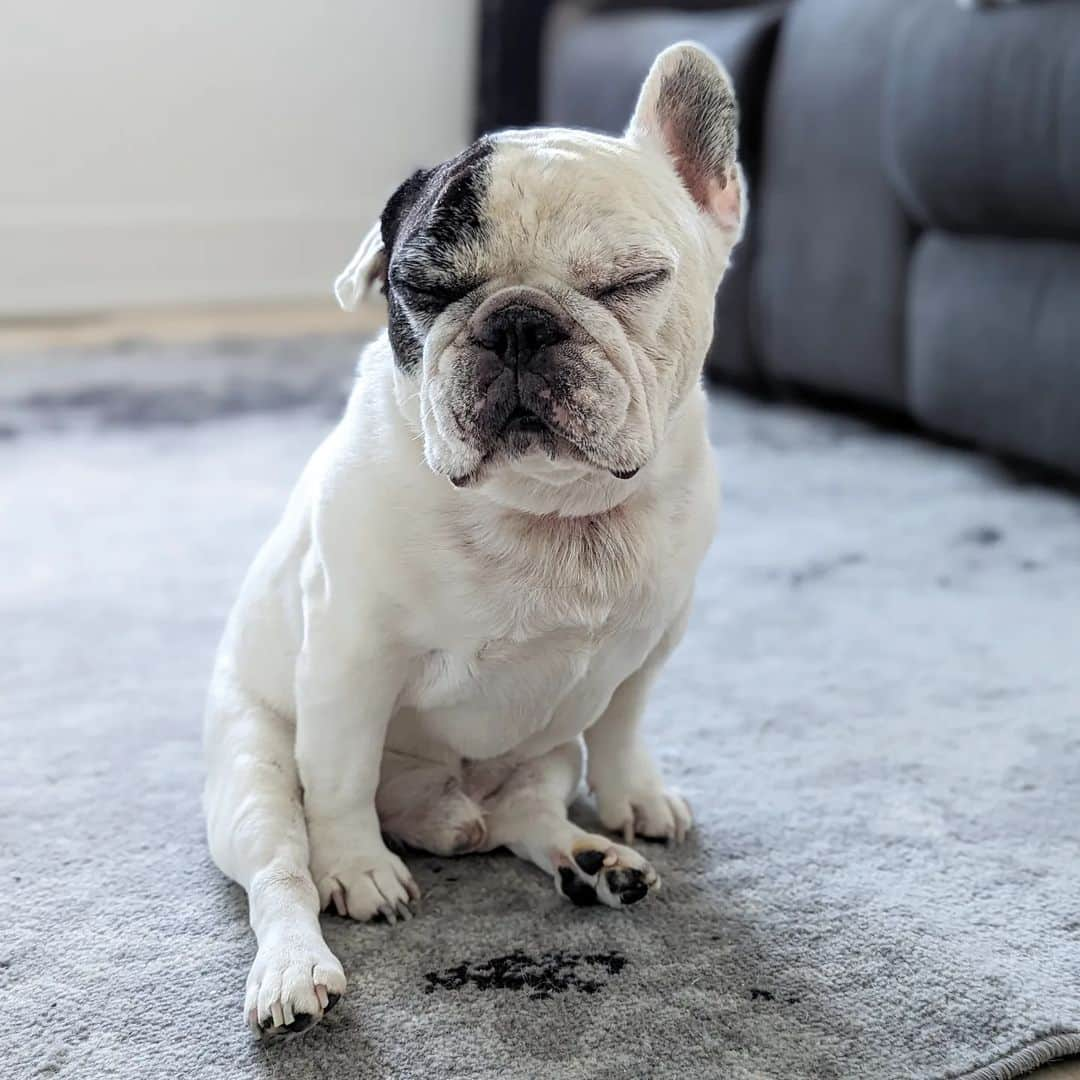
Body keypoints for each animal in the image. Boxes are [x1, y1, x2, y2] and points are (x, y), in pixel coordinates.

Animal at [203, 44, 743, 1036]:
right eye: (426, 290)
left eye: (629, 281)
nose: (518, 321)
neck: (552, 511)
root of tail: (436, 810)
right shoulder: (349, 660)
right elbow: (338, 779)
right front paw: (357, 868)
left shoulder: (654, 642)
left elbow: (623, 725)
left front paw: (635, 798)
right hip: (252, 770)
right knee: (279, 869)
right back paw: (296, 968)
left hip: (543, 753)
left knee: (525, 815)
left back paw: (590, 860)